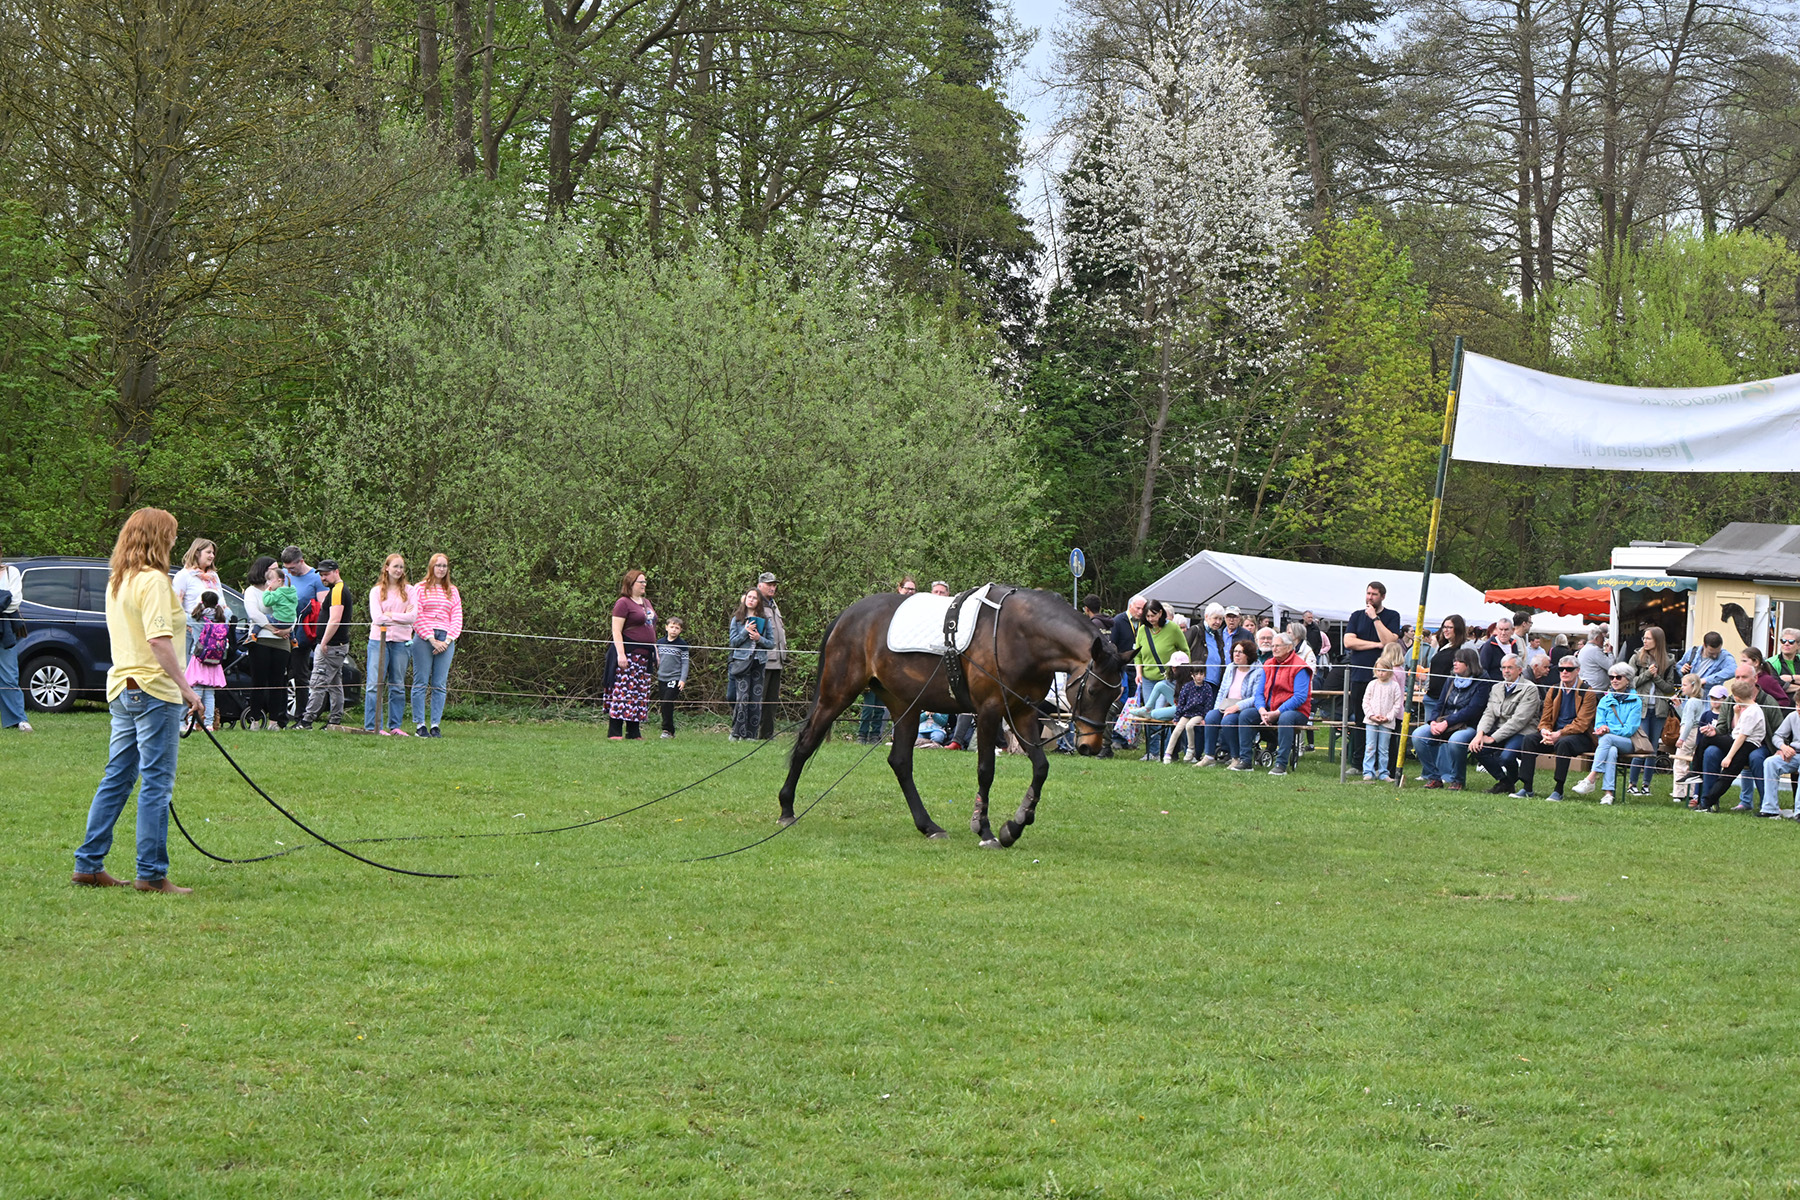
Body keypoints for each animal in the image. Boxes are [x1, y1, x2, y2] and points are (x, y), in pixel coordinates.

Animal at [775, 587, 1134, 847]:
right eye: (1092, 691)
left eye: (1116, 694)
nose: (1090, 745)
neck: (1021, 636)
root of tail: (848, 616)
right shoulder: (989, 711)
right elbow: (986, 770)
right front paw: (985, 829)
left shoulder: (1022, 711)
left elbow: (1041, 767)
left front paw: (1015, 825)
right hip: (837, 694)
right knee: (806, 743)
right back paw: (786, 809)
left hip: (904, 705)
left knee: (900, 762)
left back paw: (928, 825)